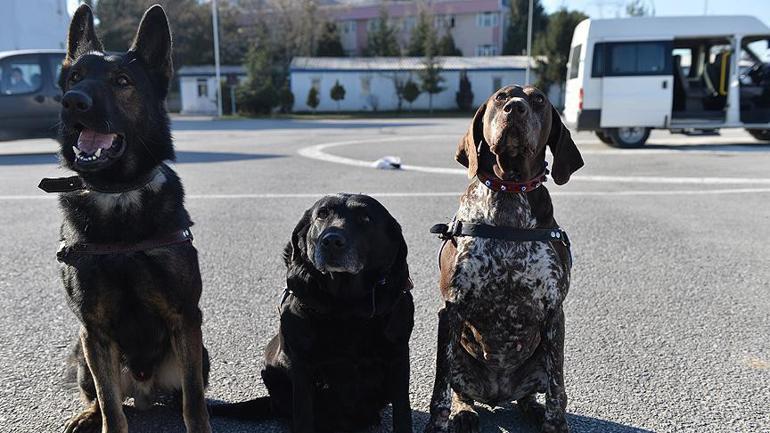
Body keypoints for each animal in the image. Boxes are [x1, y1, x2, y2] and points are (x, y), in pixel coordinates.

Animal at [38, 5, 208, 432]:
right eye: (75, 78)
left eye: (122, 82)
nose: (72, 102)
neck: (118, 194)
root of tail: (145, 391)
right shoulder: (94, 331)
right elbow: (111, 408)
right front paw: (103, 417)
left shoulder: (185, 318)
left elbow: (195, 403)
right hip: (81, 353)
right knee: (99, 397)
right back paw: (85, 415)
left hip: (200, 353)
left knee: (184, 393)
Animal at [210, 193, 414, 432]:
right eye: (322, 214)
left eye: (365, 218)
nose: (331, 240)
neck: (346, 304)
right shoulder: (302, 365)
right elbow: (303, 413)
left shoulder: (398, 356)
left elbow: (402, 411)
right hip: (272, 372)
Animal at [424, 85, 580, 432]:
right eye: (500, 97)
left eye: (538, 100)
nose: (515, 108)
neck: (509, 190)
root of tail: (498, 393)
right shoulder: (451, 311)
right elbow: (441, 388)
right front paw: (437, 424)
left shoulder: (554, 312)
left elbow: (558, 388)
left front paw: (555, 423)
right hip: (461, 356)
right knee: (460, 392)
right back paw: (464, 413)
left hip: (540, 354)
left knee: (534, 392)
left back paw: (532, 408)